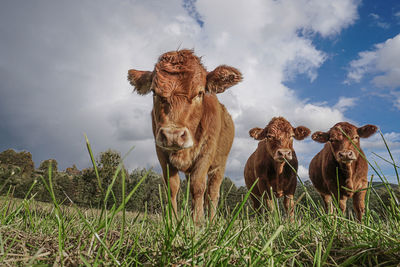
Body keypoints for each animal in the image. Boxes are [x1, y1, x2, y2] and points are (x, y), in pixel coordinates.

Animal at [127, 49, 241, 223]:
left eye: (200, 92)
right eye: (154, 92)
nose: (172, 135)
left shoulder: (206, 153)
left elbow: (198, 186)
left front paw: (198, 222)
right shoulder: (161, 151)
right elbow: (172, 187)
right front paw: (172, 220)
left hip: (220, 165)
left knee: (212, 193)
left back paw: (211, 220)